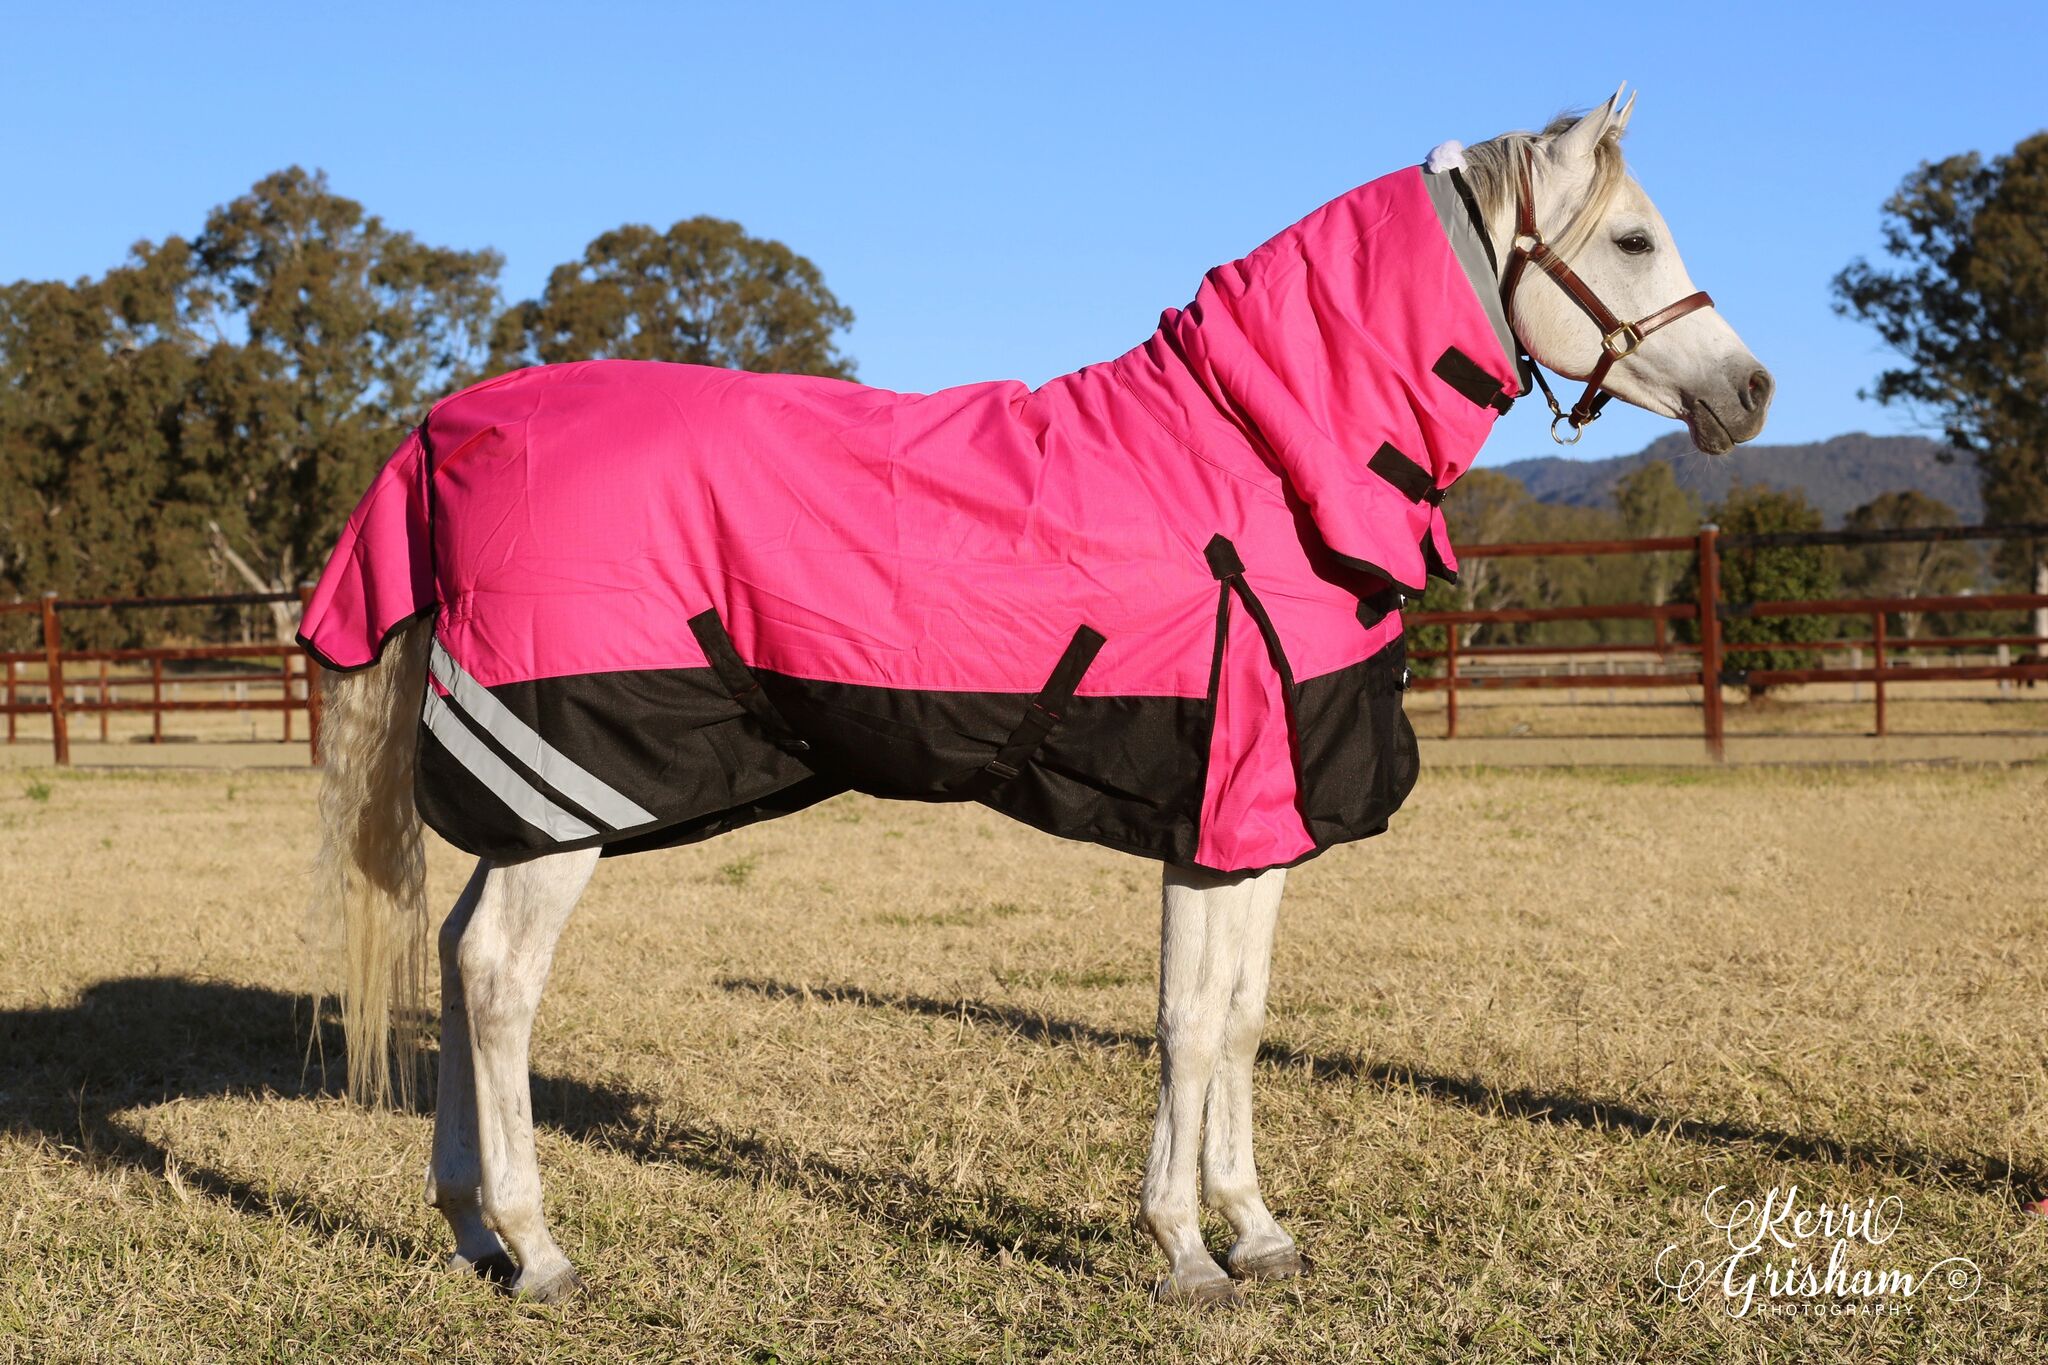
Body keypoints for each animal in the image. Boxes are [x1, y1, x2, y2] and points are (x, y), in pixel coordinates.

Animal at [306, 88, 1772, 1305]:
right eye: (1632, 238)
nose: (1750, 393)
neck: (1260, 464)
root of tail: (450, 426)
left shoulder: (1259, 821)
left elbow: (1242, 1020)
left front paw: (1256, 1229)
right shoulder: (1211, 813)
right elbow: (1186, 1023)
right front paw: (1183, 1250)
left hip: (535, 814)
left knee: (455, 957)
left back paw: (469, 1228)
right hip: (567, 790)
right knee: (496, 978)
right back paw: (538, 1245)